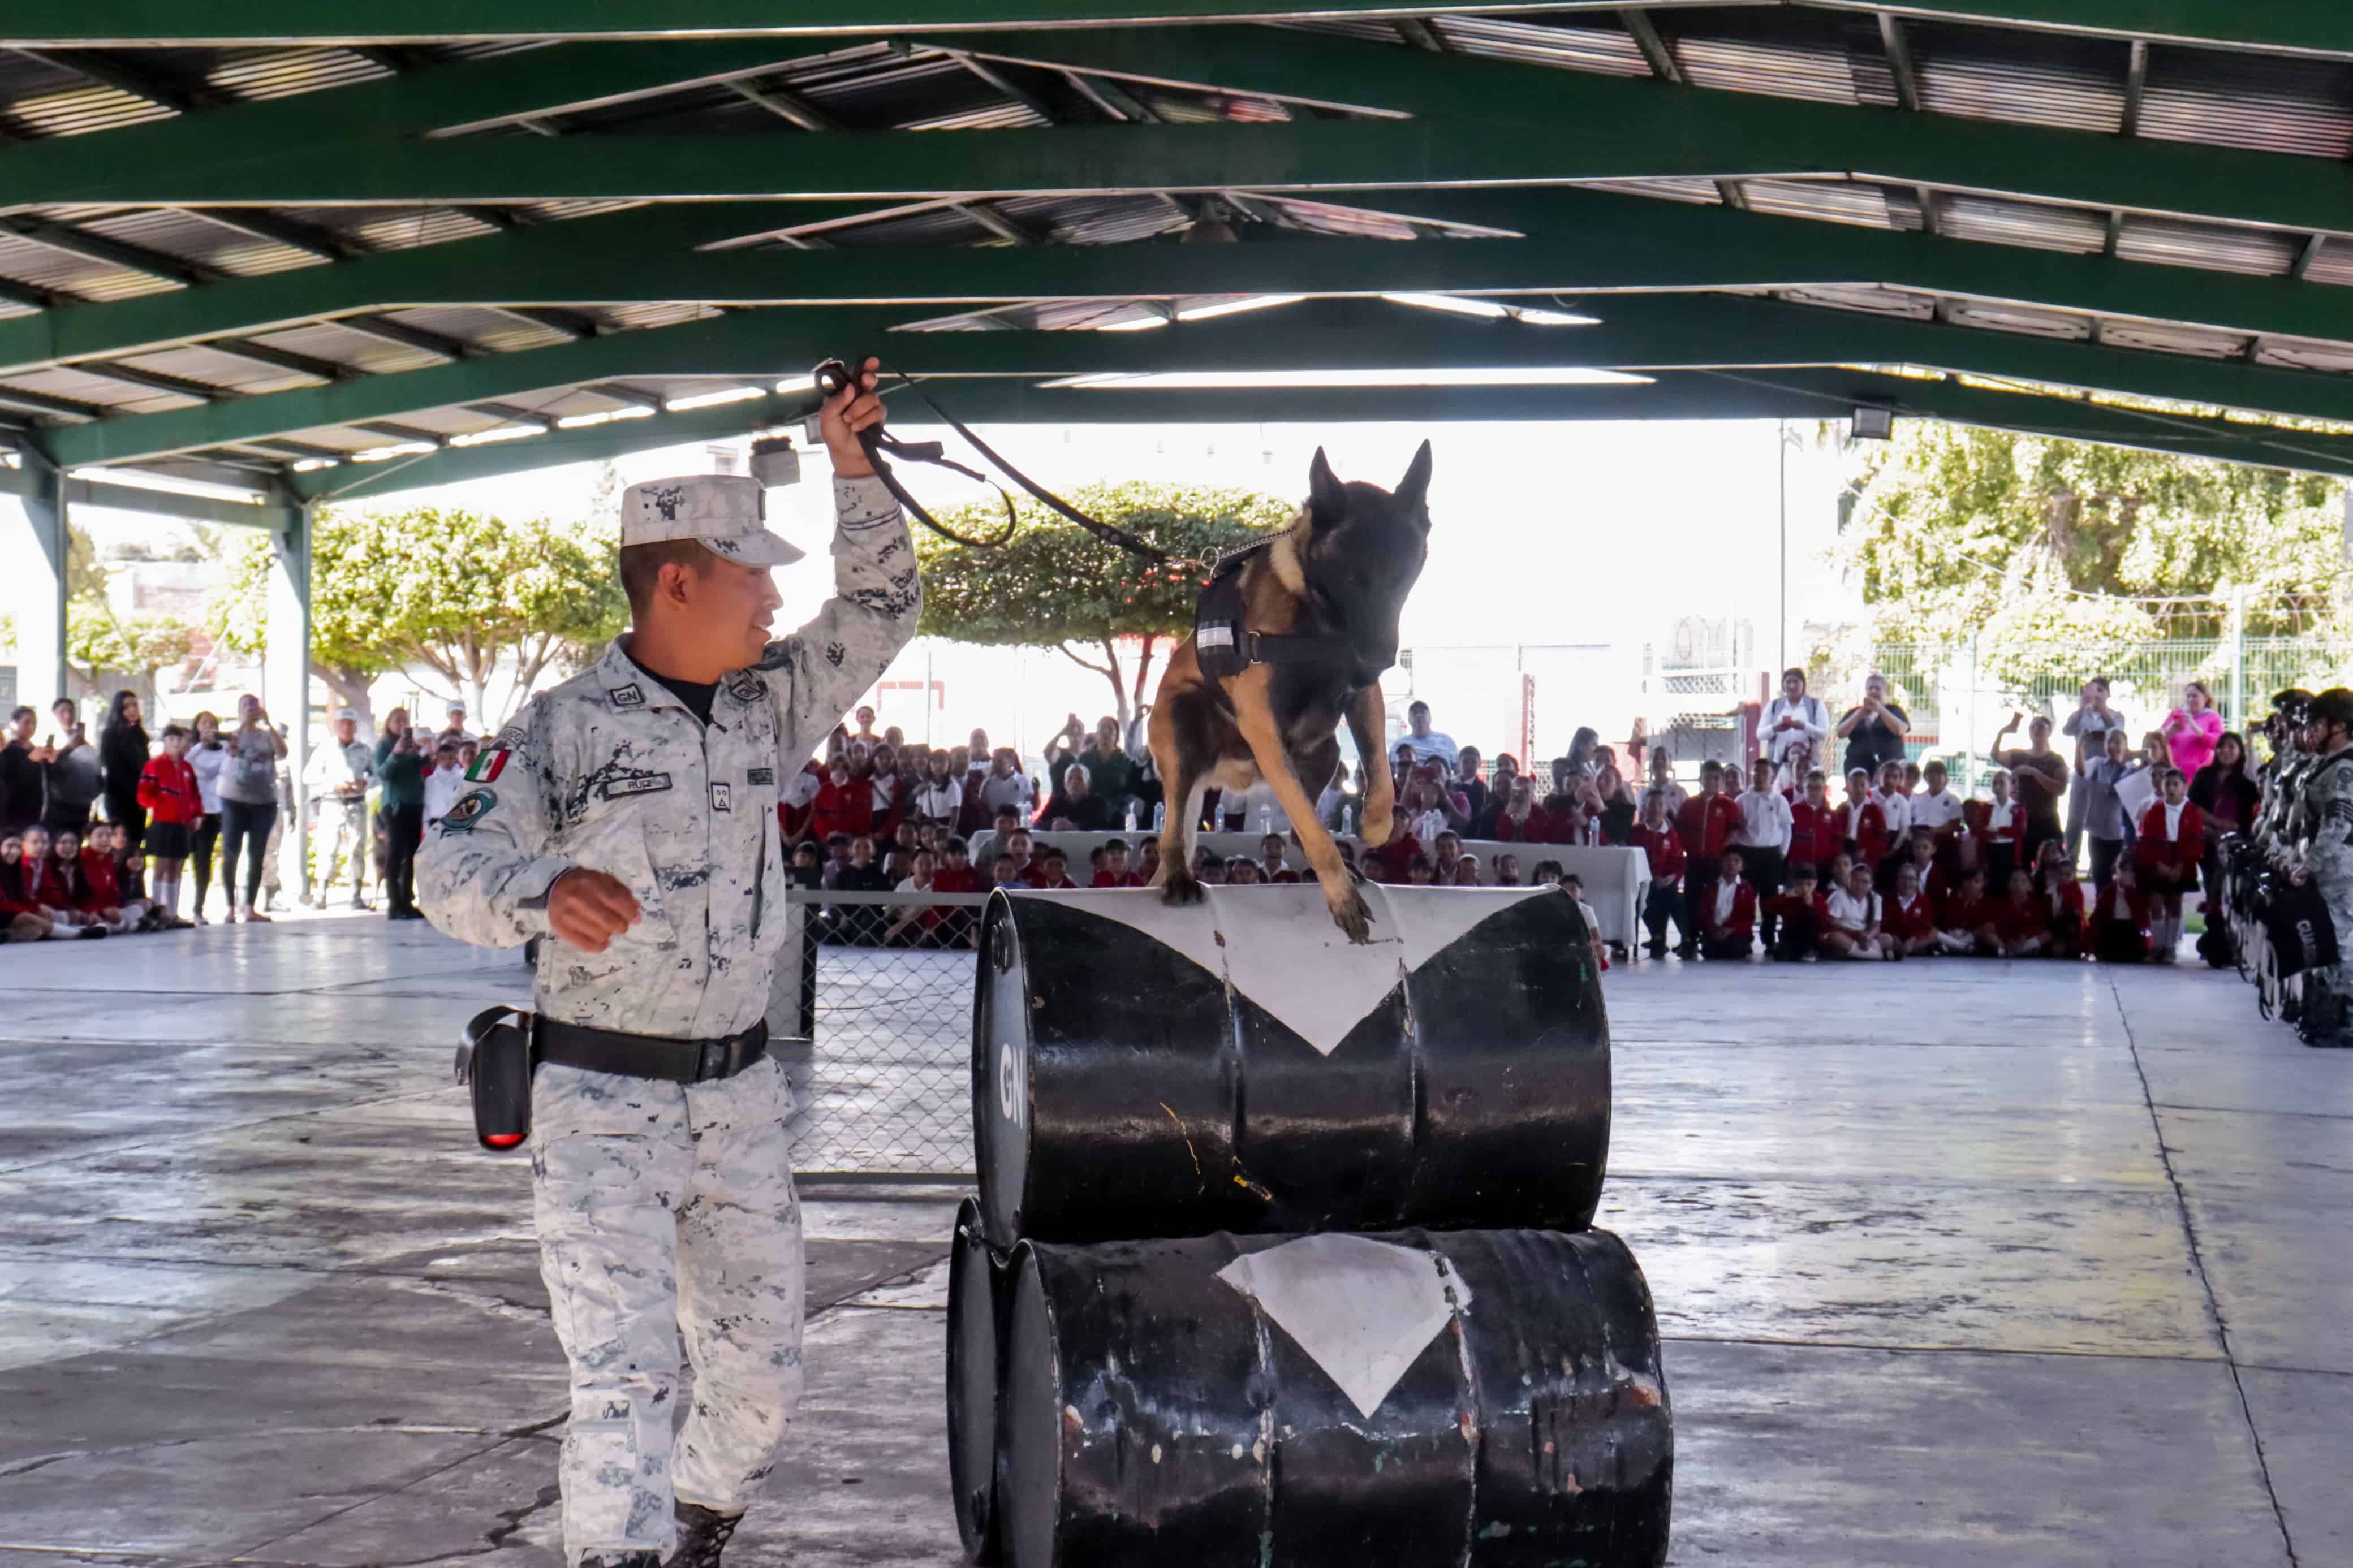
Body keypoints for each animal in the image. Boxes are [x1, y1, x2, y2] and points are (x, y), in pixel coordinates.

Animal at [1143, 439, 1430, 945]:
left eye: (1404, 576)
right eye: (1351, 577)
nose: (1380, 658)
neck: (1318, 622)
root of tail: (1227, 771)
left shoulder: (1364, 699)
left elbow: (1381, 778)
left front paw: (1375, 826)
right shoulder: (1264, 726)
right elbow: (1313, 826)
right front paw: (1341, 898)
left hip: (1326, 749)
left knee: (1300, 826)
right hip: (1184, 728)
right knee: (1174, 829)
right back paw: (1178, 876)